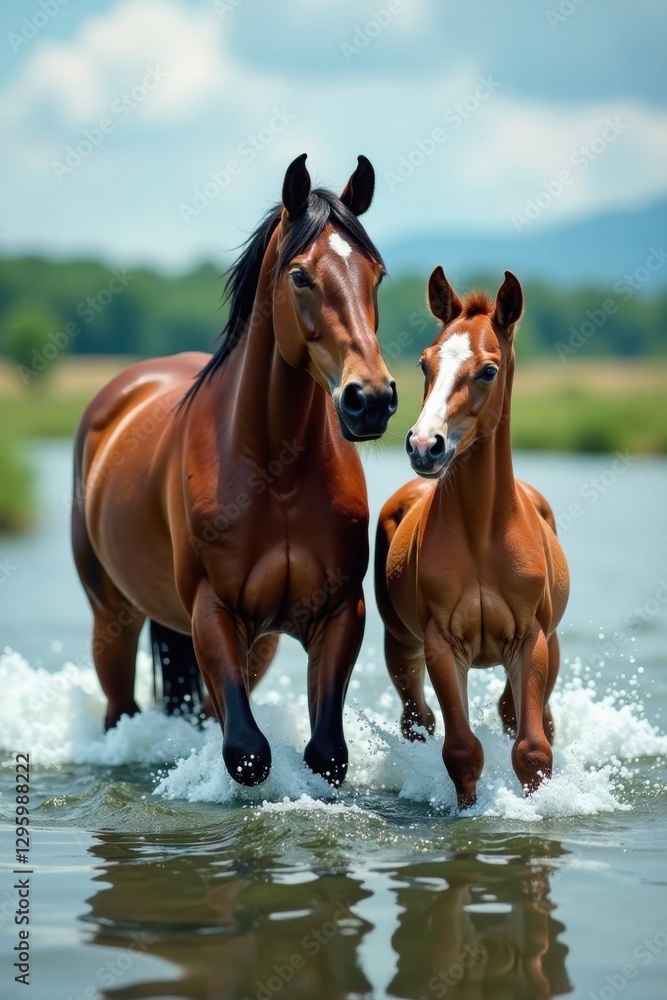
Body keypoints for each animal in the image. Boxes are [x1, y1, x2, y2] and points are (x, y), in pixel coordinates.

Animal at [72, 153, 397, 788]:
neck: (276, 472)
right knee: (121, 711)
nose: (369, 400)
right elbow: (247, 752)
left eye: (377, 274)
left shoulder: (337, 613)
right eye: (300, 276)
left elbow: (326, 754)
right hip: (112, 618)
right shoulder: (213, 613)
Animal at [374, 267, 569, 808]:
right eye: (424, 362)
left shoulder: (530, 639)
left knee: (526, 716)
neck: (482, 531)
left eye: (488, 370)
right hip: (400, 643)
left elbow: (532, 748)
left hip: (551, 644)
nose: (425, 445)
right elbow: (461, 750)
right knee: (417, 721)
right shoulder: (442, 643)